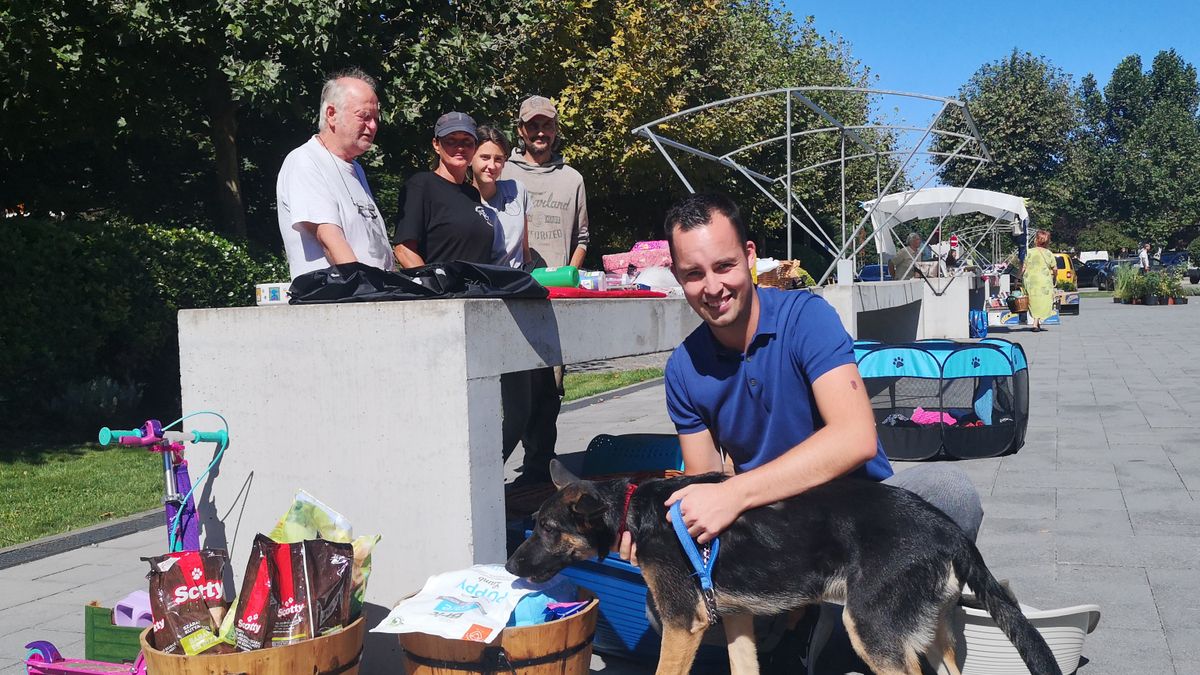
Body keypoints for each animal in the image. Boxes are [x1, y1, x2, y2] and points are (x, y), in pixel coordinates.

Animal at [506, 461, 1060, 672]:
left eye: (549, 529)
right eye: (535, 524)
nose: (510, 561)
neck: (633, 510)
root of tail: (947, 530)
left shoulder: (683, 624)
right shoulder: (733, 617)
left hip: (872, 631)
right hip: (932, 635)